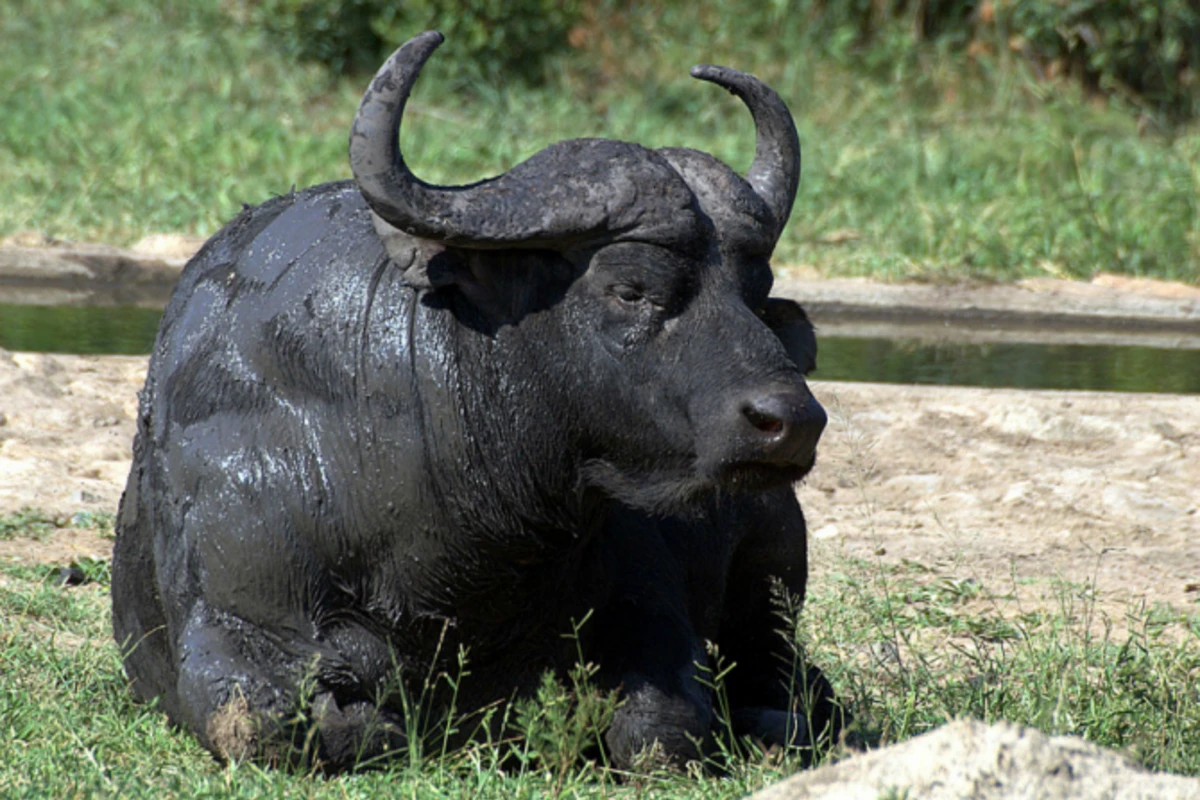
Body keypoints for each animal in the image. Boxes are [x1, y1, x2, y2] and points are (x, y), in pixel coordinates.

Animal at [114, 29, 844, 767]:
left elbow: (661, 724)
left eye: (756, 291)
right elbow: (264, 721)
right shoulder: (237, 622)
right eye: (632, 289)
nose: (791, 422)